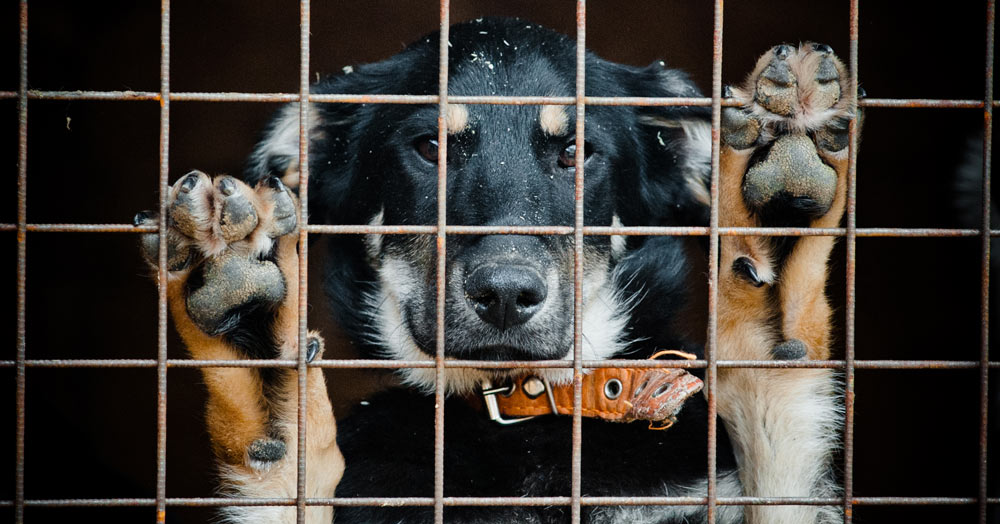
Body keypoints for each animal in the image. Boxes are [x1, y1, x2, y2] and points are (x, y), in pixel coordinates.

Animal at [137, 17, 860, 524]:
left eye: (576, 151)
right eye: (431, 147)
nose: (507, 294)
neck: (520, 423)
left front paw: (773, 224)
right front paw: (249, 338)